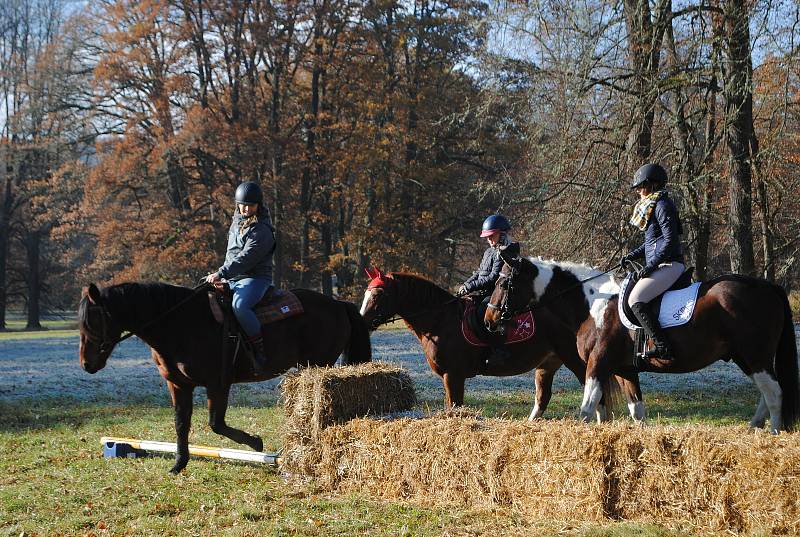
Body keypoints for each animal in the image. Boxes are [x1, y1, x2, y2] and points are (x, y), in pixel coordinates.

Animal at [78, 282, 372, 472]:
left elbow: (216, 424)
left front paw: (256, 443)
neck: (181, 325)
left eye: (93, 320)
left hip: (320, 364)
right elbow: (181, 424)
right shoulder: (178, 384)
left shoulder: (217, 383)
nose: (86, 364)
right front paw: (178, 464)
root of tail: (337, 304)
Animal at [360, 266, 584, 408]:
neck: (440, 321)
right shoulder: (449, 377)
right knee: (543, 397)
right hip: (549, 362)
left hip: (574, 358)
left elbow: (455, 407)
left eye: (377, 294)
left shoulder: (453, 375)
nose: (362, 321)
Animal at [488, 266, 800, 432]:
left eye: (503, 283)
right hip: (746, 357)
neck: (594, 305)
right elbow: (637, 411)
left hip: (755, 355)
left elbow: (587, 408)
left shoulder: (597, 364)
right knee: (767, 393)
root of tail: (769, 286)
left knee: (774, 393)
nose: (489, 319)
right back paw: (754, 428)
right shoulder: (625, 369)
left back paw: (772, 432)